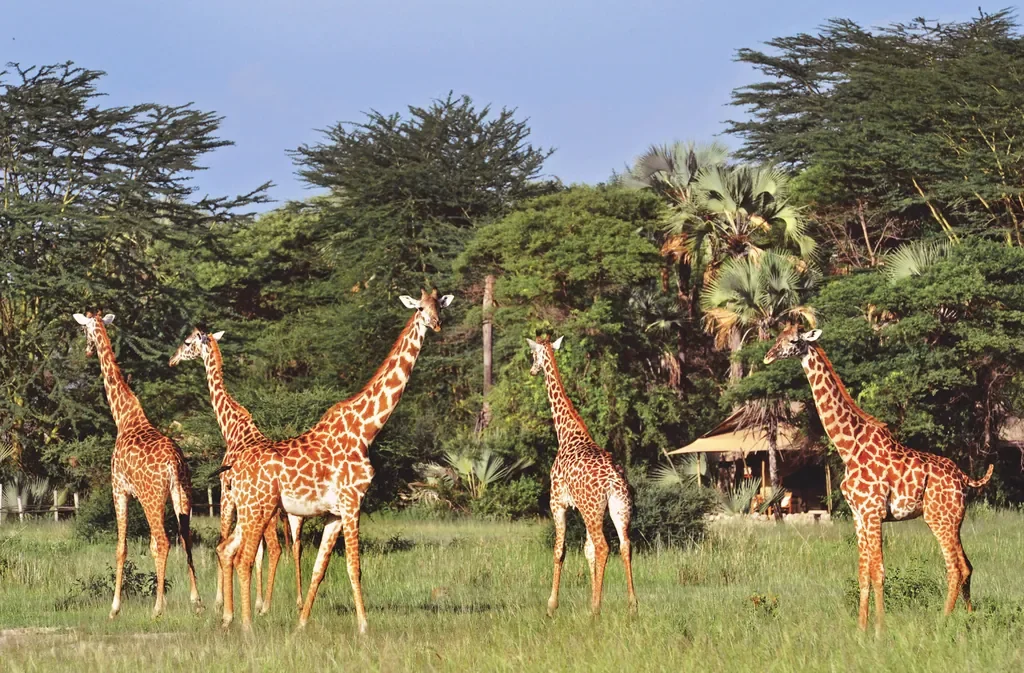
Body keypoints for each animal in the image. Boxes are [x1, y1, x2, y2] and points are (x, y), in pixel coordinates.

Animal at [72, 312, 201, 618]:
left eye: (84, 330)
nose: (86, 350)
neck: (124, 417)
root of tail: (174, 464)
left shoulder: (119, 489)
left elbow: (121, 547)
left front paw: (114, 608)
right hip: (183, 494)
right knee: (186, 537)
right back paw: (197, 601)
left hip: (152, 498)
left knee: (161, 542)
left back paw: (157, 608)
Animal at [169, 329, 304, 614]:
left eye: (187, 342)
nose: (172, 360)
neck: (231, 429)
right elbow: (253, 552)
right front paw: (253, 599)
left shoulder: (225, 493)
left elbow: (223, 540)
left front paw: (221, 601)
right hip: (289, 514)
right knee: (292, 546)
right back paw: (293, 601)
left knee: (276, 548)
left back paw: (266, 607)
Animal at [217, 289, 453, 631]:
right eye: (420, 308)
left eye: (440, 307)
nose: (435, 324)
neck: (365, 430)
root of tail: (234, 471)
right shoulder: (353, 501)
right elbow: (355, 567)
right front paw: (364, 626)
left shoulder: (334, 513)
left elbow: (320, 568)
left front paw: (302, 624)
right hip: (258, 507)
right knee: (244, 557)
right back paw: (247, 626)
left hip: (250, 509)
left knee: (228, 550)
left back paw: (229, 620)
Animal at [527, 336, 638, 618]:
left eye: (533, 355)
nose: (532, 370)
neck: (567, 434)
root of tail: (613, 483)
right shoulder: (579, 507)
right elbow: (587, 551)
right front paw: (592, 598)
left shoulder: (558, 502)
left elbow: (560, 550)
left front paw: (552, 605)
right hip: (618, 508)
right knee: (624, 545)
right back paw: (632, 605)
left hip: (592, 510)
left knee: (604, 546)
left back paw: (596, 610)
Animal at [763, 324, 994, 633]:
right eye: (777, 336)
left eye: (792, 340)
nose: (768, 356)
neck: (848, 447)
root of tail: (965, 478)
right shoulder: (858, 514)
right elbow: (863, 572)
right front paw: (861, 629)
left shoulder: (873, 512)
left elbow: (879, 571)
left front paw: (880, 628)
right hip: (954, 519)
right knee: (967, 565)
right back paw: (968, 617)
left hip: (939, 518)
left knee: (955, 567)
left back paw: (943, 621)